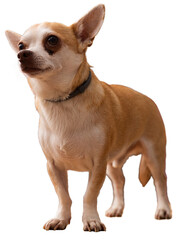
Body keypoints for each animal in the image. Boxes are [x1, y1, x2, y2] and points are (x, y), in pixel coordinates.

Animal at [5, 4, 172, 232]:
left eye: (52, 40)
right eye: (21, 44)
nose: (22, 54)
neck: (64, 101)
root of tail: (149, 99)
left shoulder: (97, 165)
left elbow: (89, 194)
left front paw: (91, 220)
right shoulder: (54, 165)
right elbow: (63, 196)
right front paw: (61, 218)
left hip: (153, 154)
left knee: (160, 180)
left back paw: (163, 209)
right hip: (112, 164)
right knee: (119, 180)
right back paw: (117, 208)